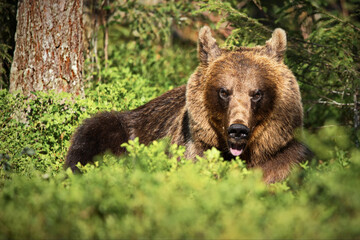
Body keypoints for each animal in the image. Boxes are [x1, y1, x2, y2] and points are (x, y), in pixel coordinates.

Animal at [64, 26, 310, 183]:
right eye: (224, 91)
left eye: (256, 93)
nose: (238, 130)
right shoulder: (193, 149)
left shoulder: (283, 155)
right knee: (90, 135)